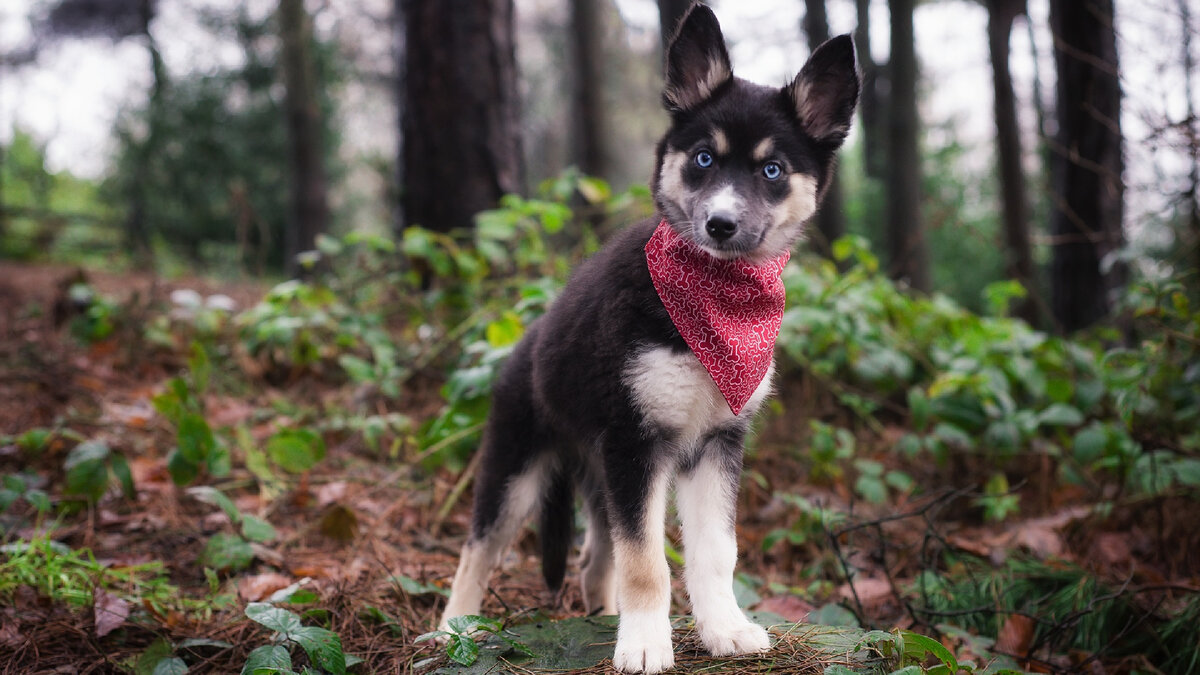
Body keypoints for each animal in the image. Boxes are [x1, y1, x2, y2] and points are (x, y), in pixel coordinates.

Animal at [436, 3, 859, 667]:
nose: (720, 224)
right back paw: (454, 629)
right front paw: (643, 646)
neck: (716, 301)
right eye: (704, 158)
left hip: (599, 472)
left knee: (591, 562)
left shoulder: (713, 444)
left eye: (772, 170)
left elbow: (715, 553)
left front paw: (724, 628)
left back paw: (603, 619)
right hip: (518, 466)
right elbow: (647, 563)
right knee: (477, 548)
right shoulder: (637, 443)